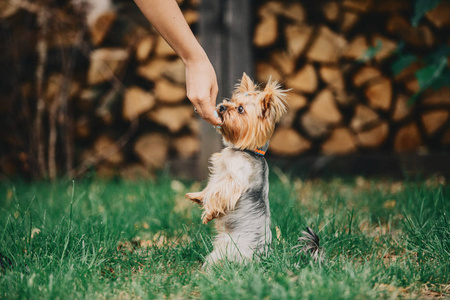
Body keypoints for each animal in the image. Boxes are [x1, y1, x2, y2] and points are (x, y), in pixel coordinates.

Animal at [186, 72, 288, 264]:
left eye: (240, 109)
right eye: (232, 100)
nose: (222, 106)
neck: (247, 151)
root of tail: (259, 257)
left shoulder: (234, 181)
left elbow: (218, 194)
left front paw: (209, 213)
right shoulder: (218, 175)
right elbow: (210, 189)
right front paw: (197, 197)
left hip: (226, 249)